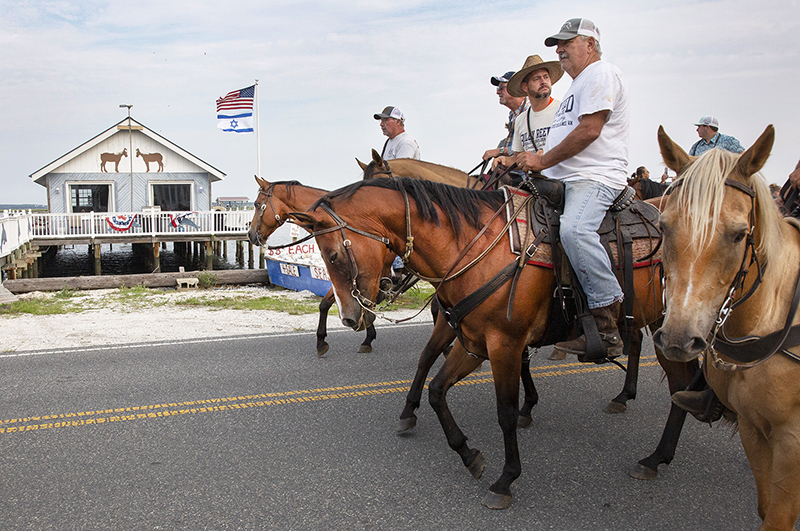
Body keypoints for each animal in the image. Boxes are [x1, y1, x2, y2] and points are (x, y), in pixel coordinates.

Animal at [290, 178, 700, 512]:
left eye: (333, 254)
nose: (350, 318)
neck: (479, 249)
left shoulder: (505, 344)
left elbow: (504, 411)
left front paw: (506, 478)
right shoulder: (473, 343)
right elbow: (437, 388)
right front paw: (468, 453)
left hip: (670, 330)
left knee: (678, 386)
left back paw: (654, 451)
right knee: (678, 384)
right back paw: (652, 444)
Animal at [652, 125, 800, 531]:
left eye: (738, 234)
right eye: (663, 226)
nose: (679, 338)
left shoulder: (792, 443)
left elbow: (778, 519)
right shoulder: (753, 429)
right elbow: (765, 509)